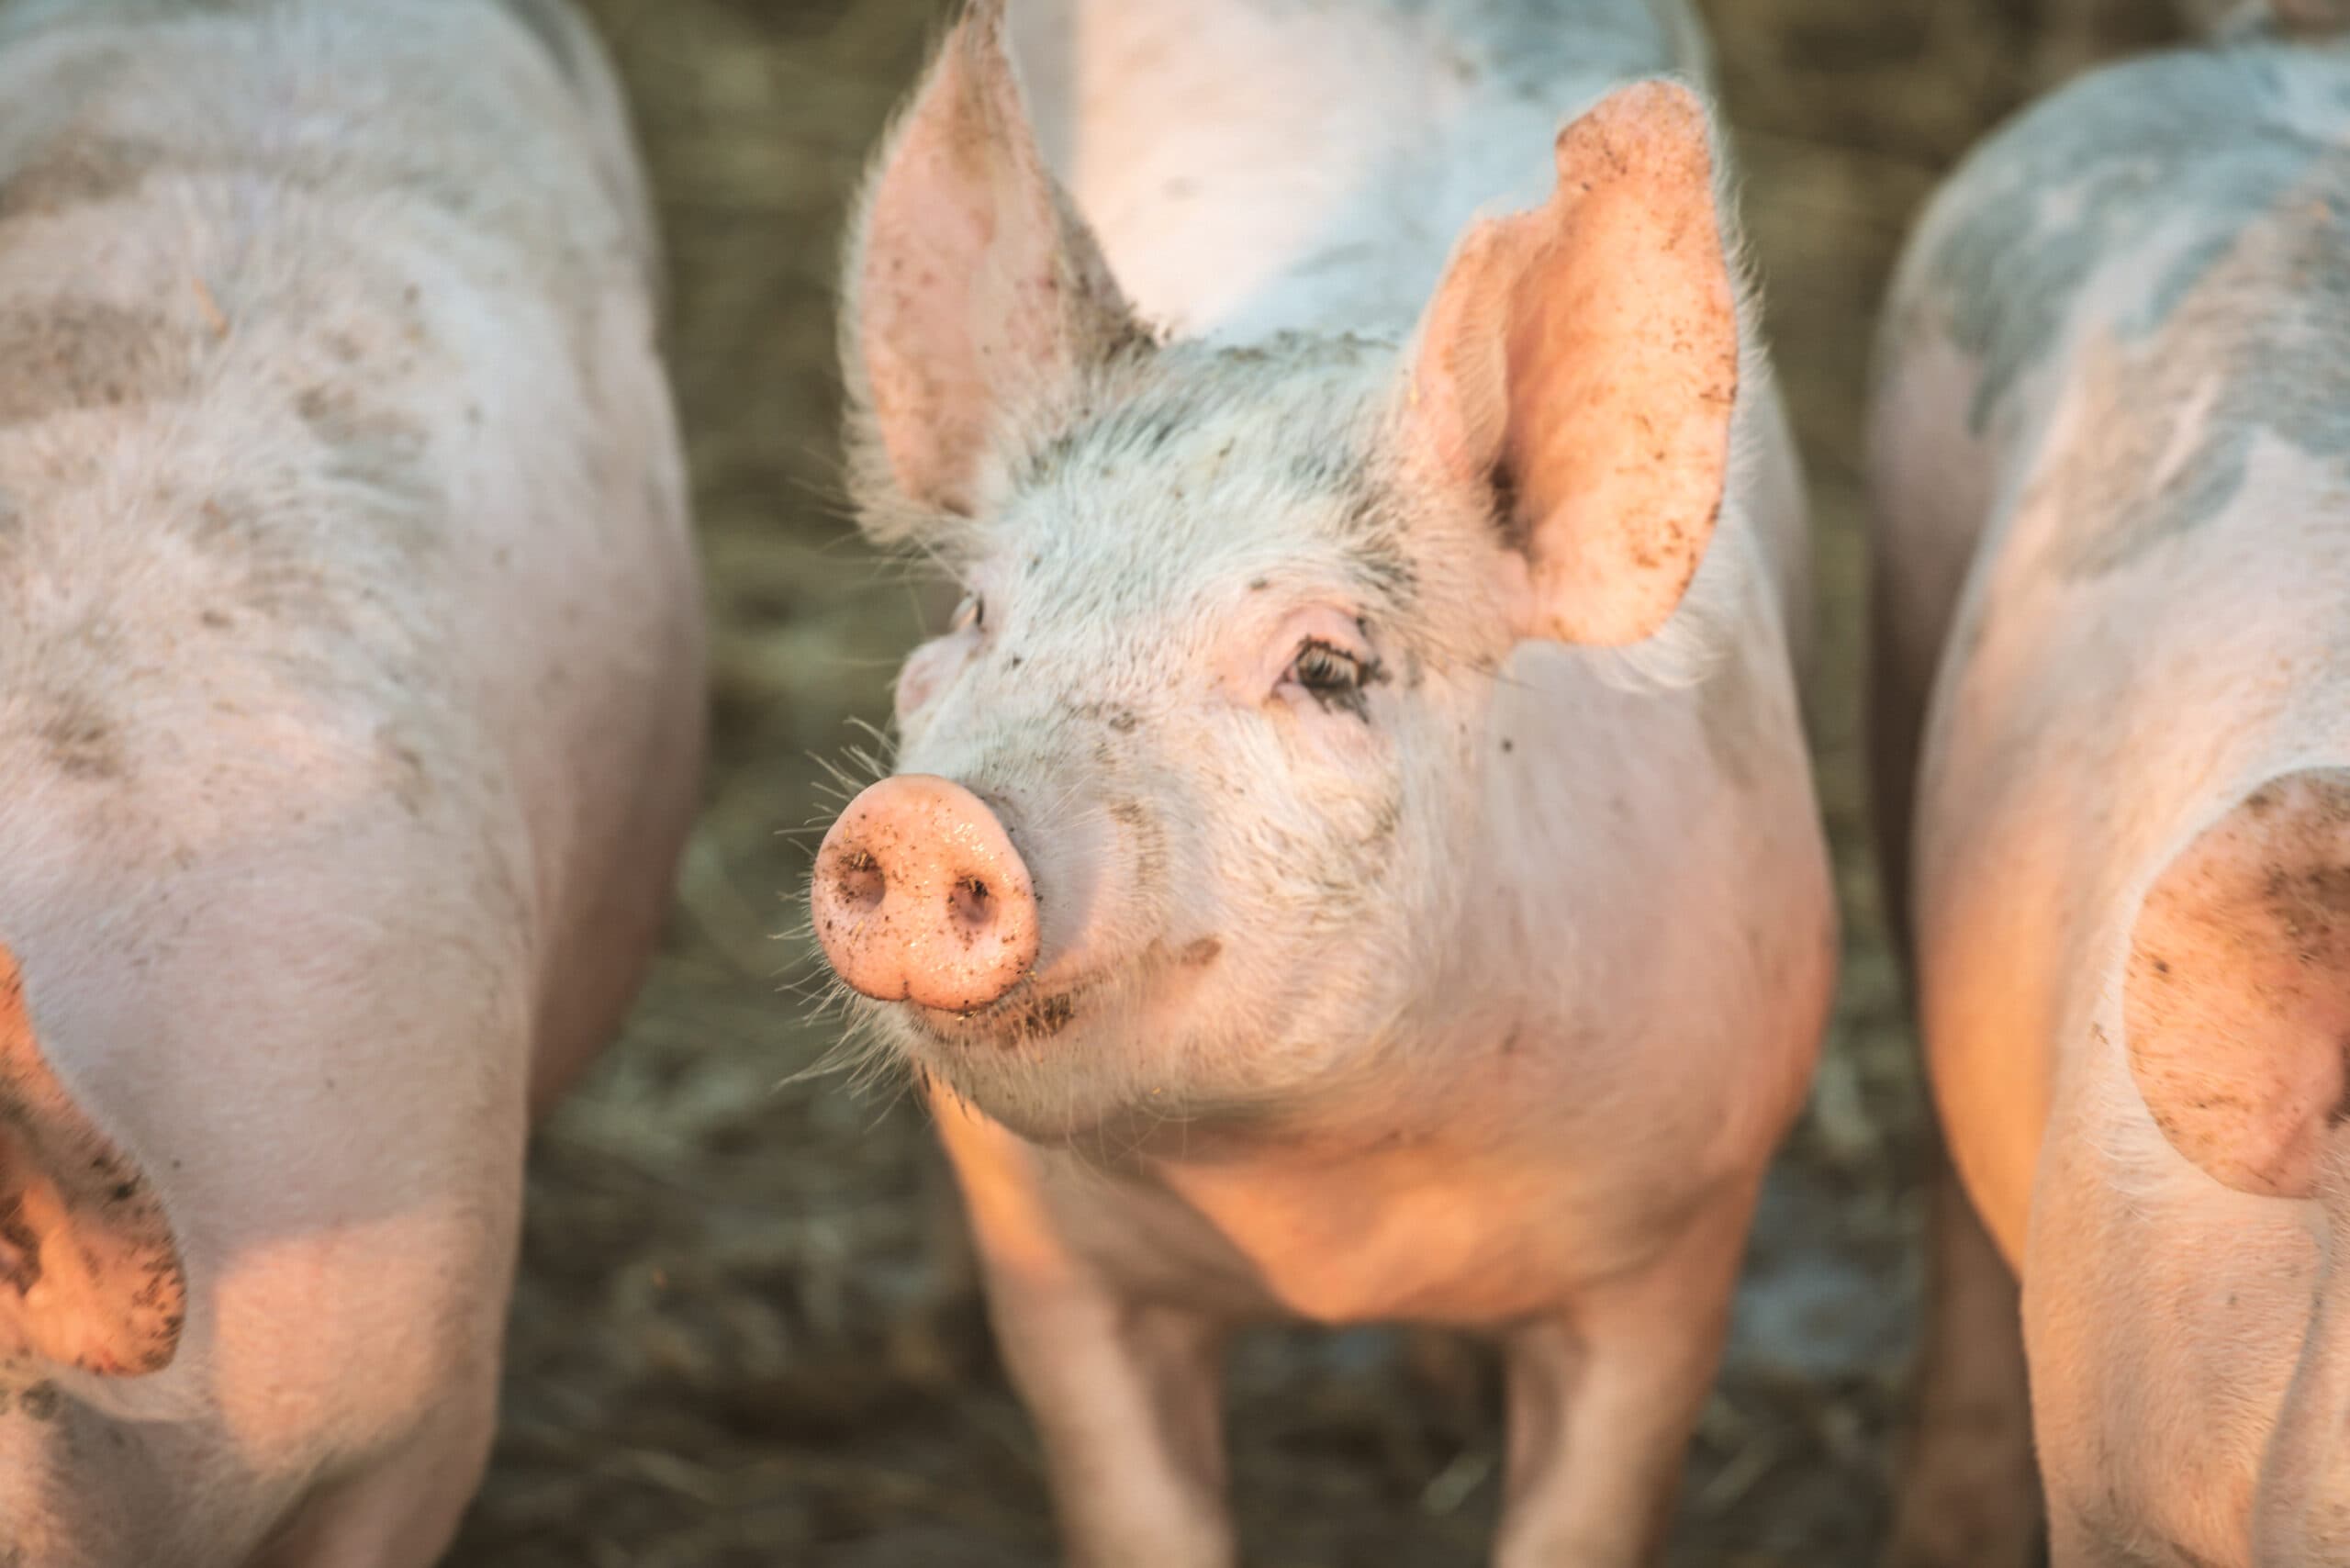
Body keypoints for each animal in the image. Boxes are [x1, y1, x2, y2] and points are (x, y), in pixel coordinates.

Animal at [808, 6, 1832, 1561]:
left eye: (1329, 666)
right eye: (984, 615)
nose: (930, 818)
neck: (1329, 1207)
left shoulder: (1674, 1250)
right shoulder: (1063, 1274)